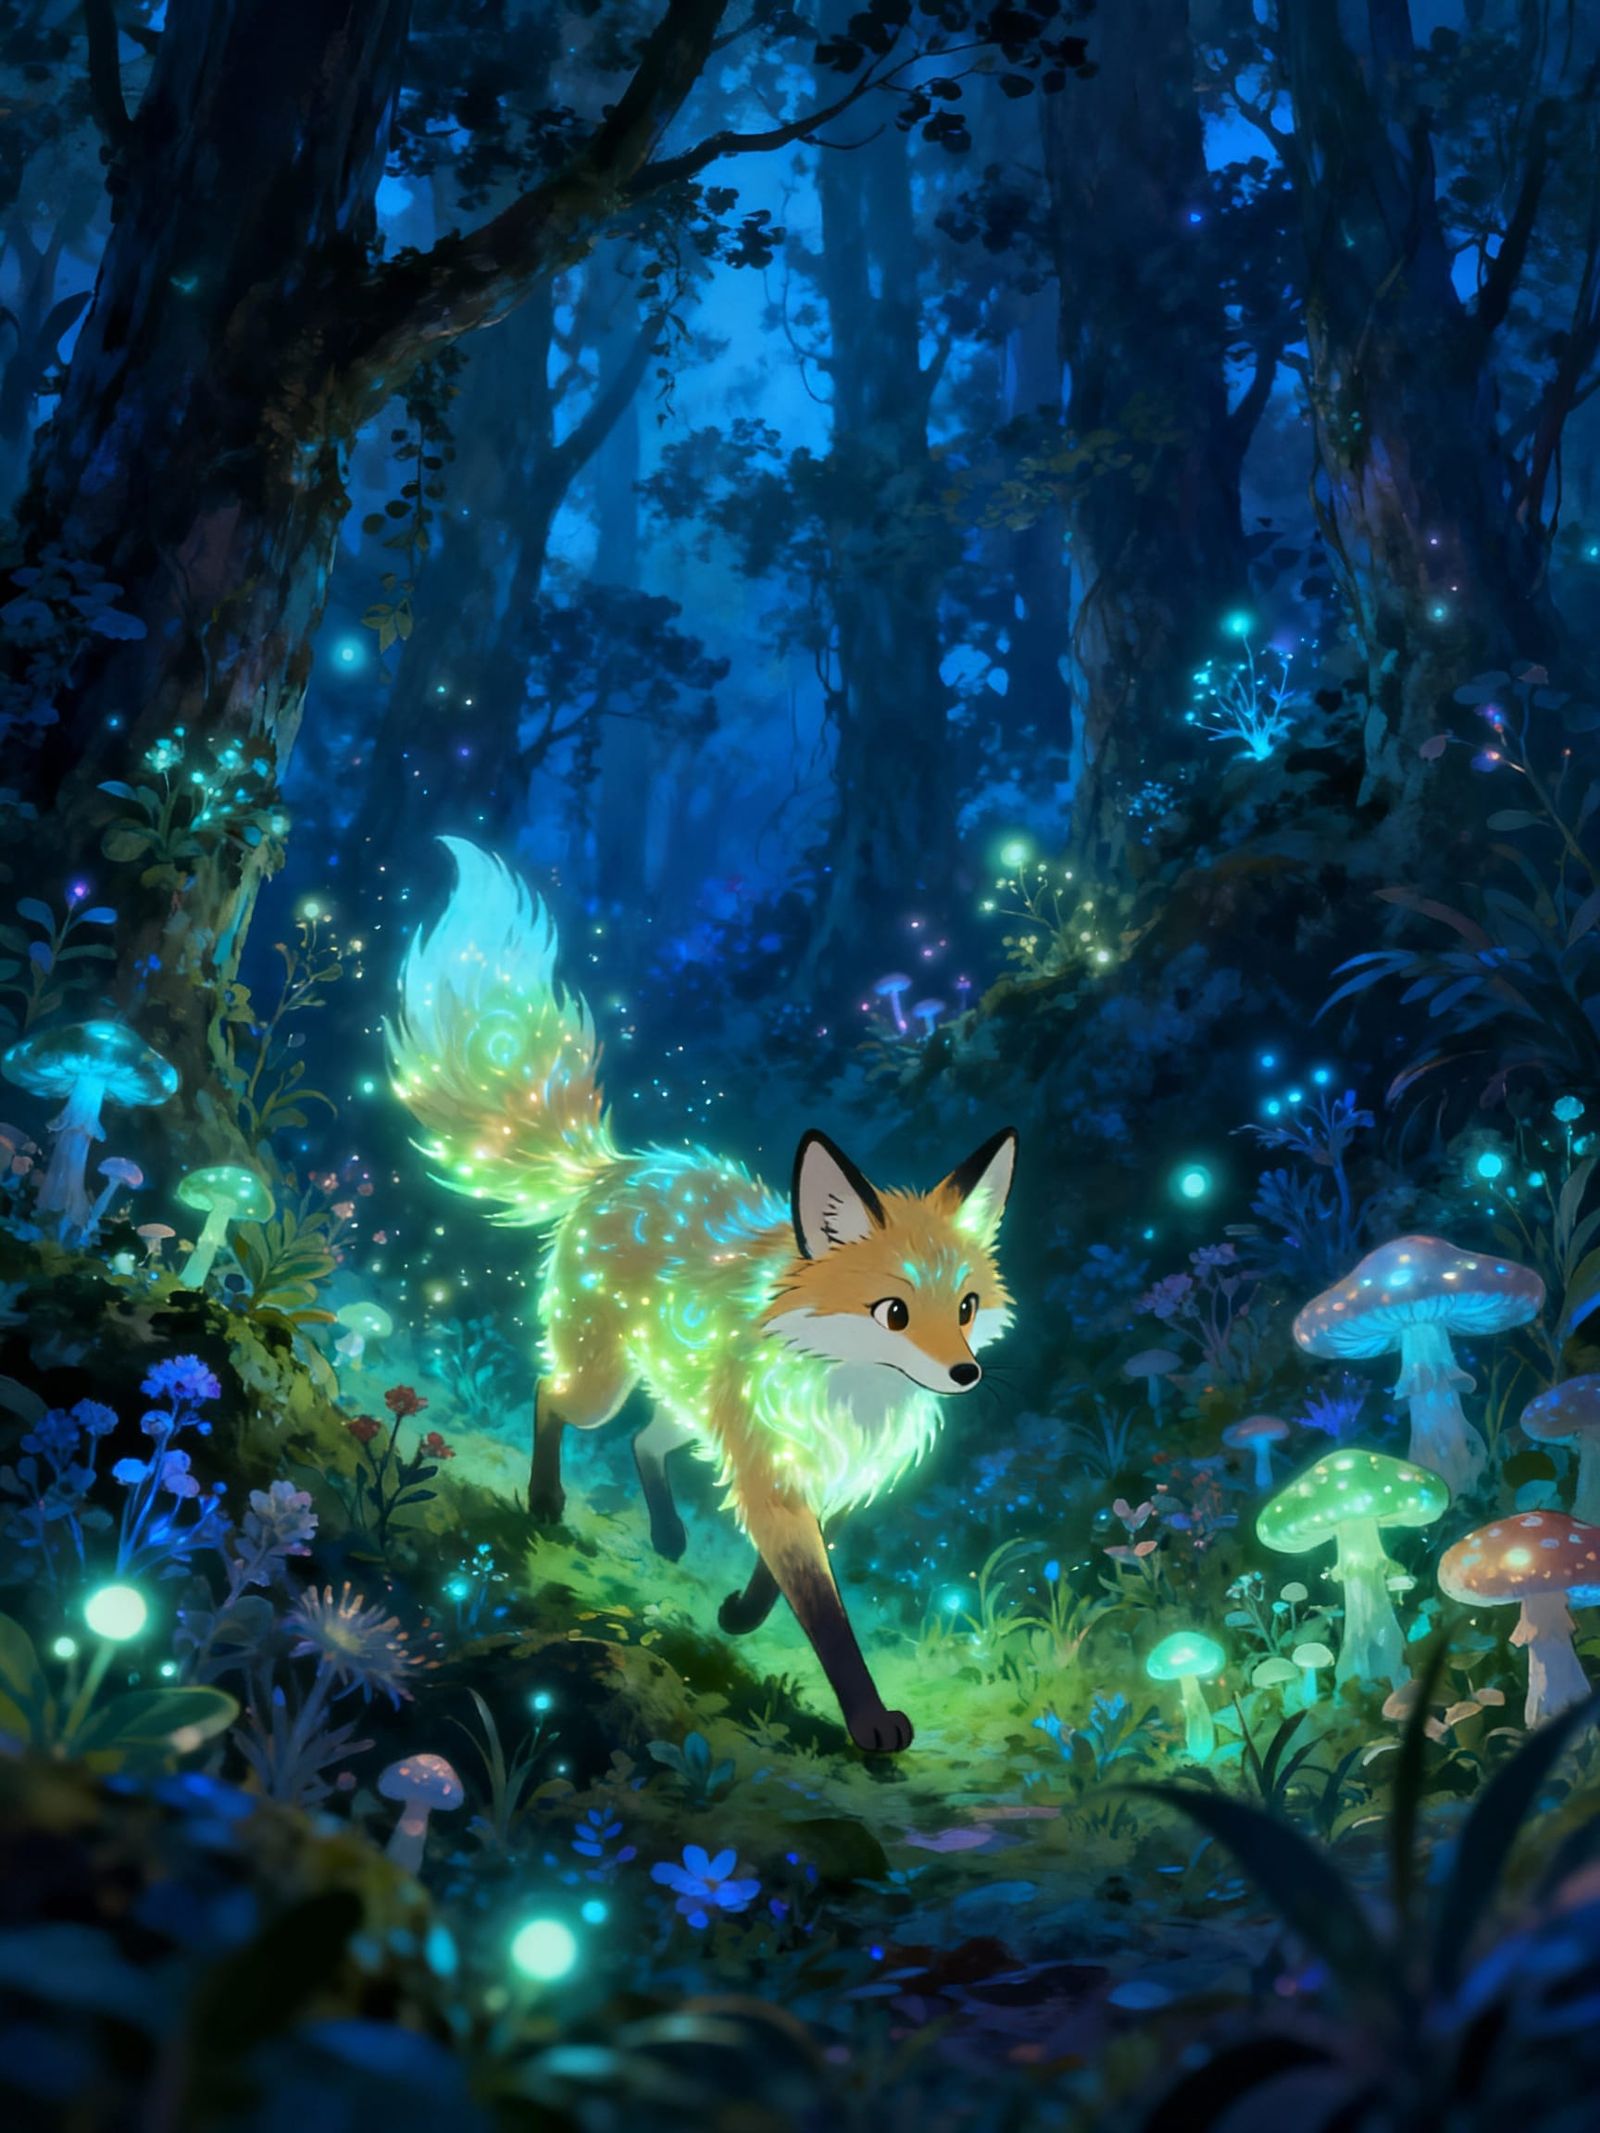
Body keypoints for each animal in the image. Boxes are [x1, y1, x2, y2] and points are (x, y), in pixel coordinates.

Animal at [387, 838, 1018, 1753]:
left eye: (965, 1307)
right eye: (893, 1312)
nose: (965, 1374)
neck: (849, 1393)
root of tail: (616, 1166)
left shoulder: (816, 1474)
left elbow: (783, 1576)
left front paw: (741, 1616)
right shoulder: (773, 1469)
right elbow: (826, 1614)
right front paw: (868, 1723)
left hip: (691, 1405)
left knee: (644, 1441)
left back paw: (669, 1533)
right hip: (608, 1381)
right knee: (552, 1394)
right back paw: (547, 1500)